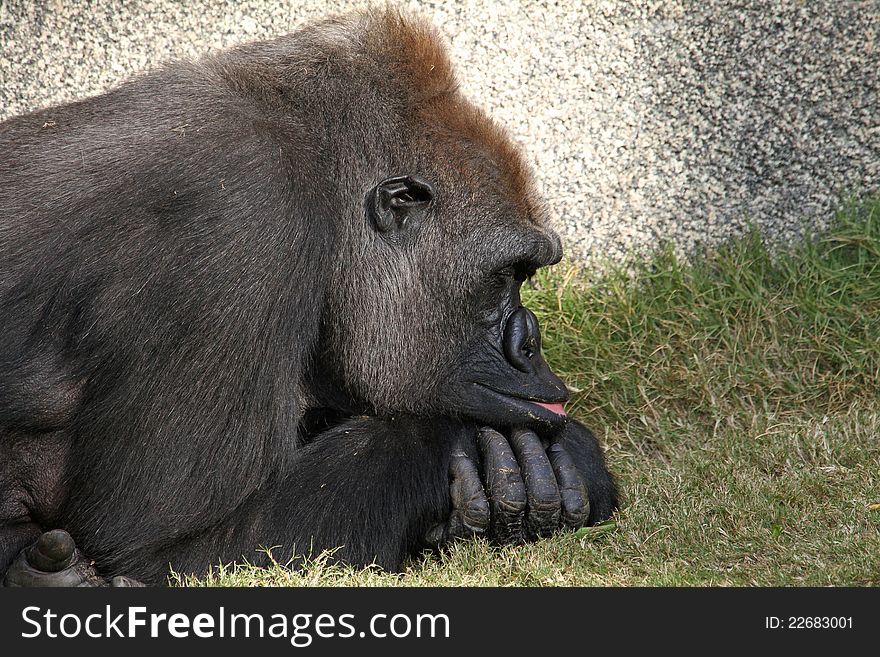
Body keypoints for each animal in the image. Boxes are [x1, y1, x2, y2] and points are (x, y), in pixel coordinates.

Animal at [0, 9, 620, 584]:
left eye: (525, 276)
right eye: (505, 276)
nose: (531, 345)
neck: (322, 169)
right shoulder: (244, 226)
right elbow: (162, 551)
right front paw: (529, 453)